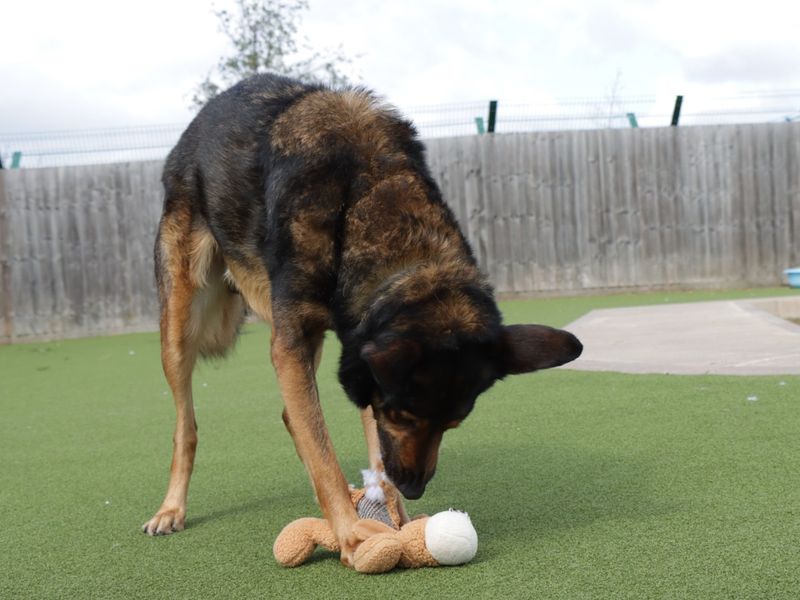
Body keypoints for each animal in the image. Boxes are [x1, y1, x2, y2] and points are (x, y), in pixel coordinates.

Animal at [144, 72, 580, 564]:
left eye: (452, 425)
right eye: (403, 416)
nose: (414, 488)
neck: (366, 200)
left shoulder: (359, 351)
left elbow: (356, 441)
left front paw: (392, 516)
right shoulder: (300, 344)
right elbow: (324, 451)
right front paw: (351, 532)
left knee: (290, 417)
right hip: (180, 325)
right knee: (187, 427)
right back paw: (171, 509)